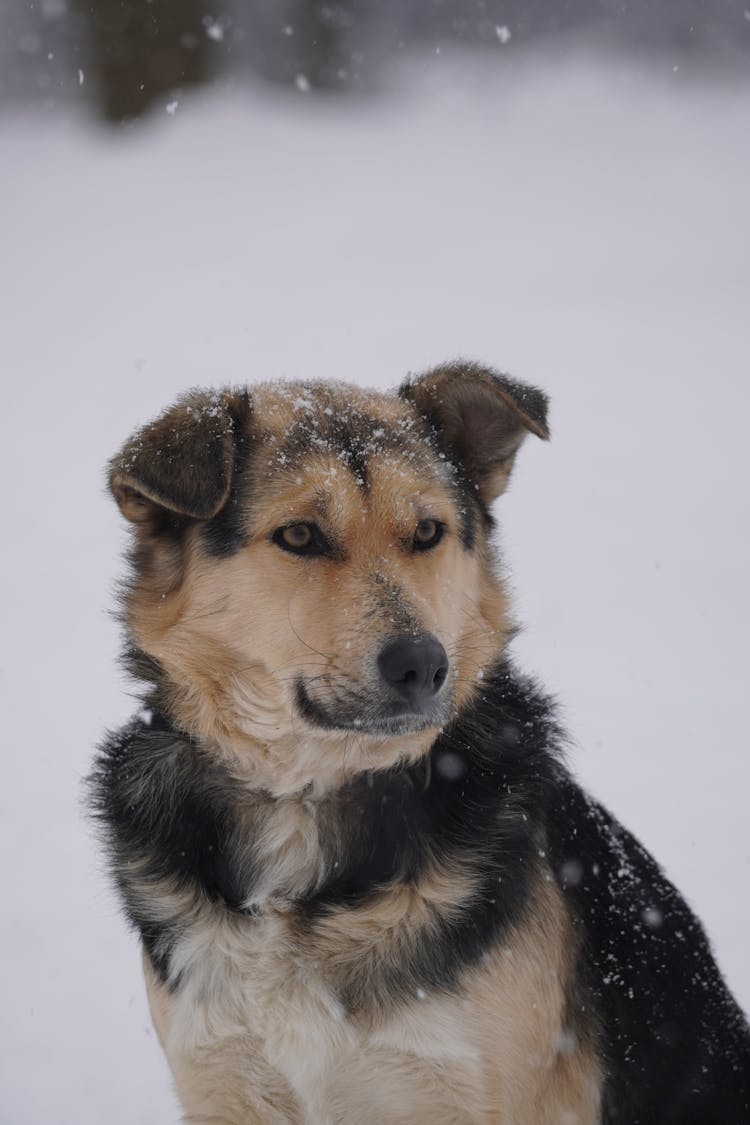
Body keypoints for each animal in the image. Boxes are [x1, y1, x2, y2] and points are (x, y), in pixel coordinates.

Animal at [89, 364, 750, 1120]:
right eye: (299, 535)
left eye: (428, 531)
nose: (423, 665)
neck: (305, 801)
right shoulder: (223, 1079)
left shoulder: (458, 1088)